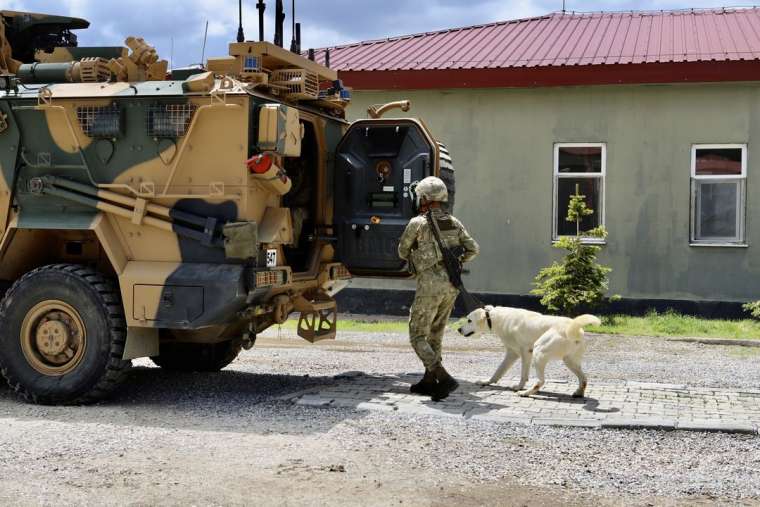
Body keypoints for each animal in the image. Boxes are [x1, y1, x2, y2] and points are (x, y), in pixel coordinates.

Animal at [458, 308, 600, 398]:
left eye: (469, 320)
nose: (459, 329)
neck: (497, 318)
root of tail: (575, 328)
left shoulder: (526, 352)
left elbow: (523, 375)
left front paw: (519, 387)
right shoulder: (512, 354)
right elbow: (498, 372)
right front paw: (487, 382)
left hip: (538, 351)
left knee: (541, 381)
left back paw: (526, 393)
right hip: (569, 361)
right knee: (584, 379)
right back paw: (579, 393)